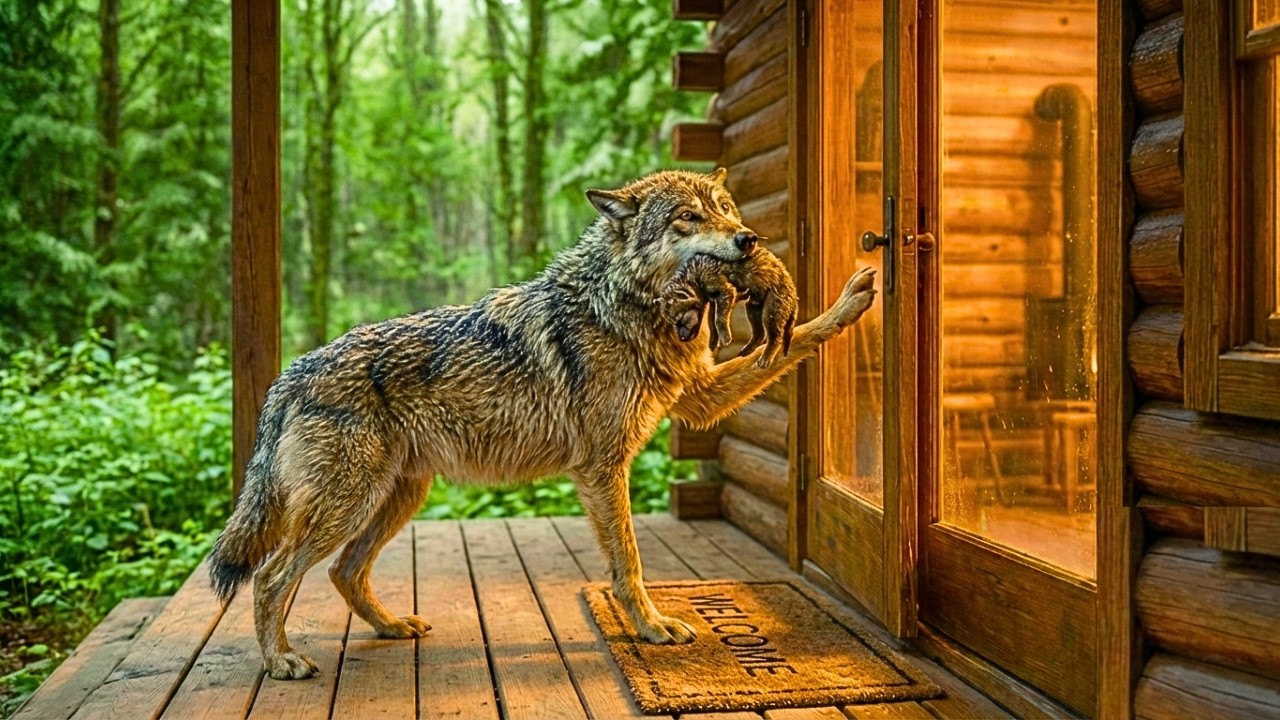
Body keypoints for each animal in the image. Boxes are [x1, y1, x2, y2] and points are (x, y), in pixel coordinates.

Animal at [658, 246, 798, 368]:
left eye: (680, 320)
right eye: (674, 324)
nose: (682, 338)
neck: (694, 274)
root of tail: (793, 290)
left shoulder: (726, 291)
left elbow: (718, 319)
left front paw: (725, 338)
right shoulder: (715, 300)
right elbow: (712, 321)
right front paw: (713, 343)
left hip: (771, 309)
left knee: (775, 336)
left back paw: (766, 358)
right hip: (753, 307)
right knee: (760, 333)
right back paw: (746, 351)